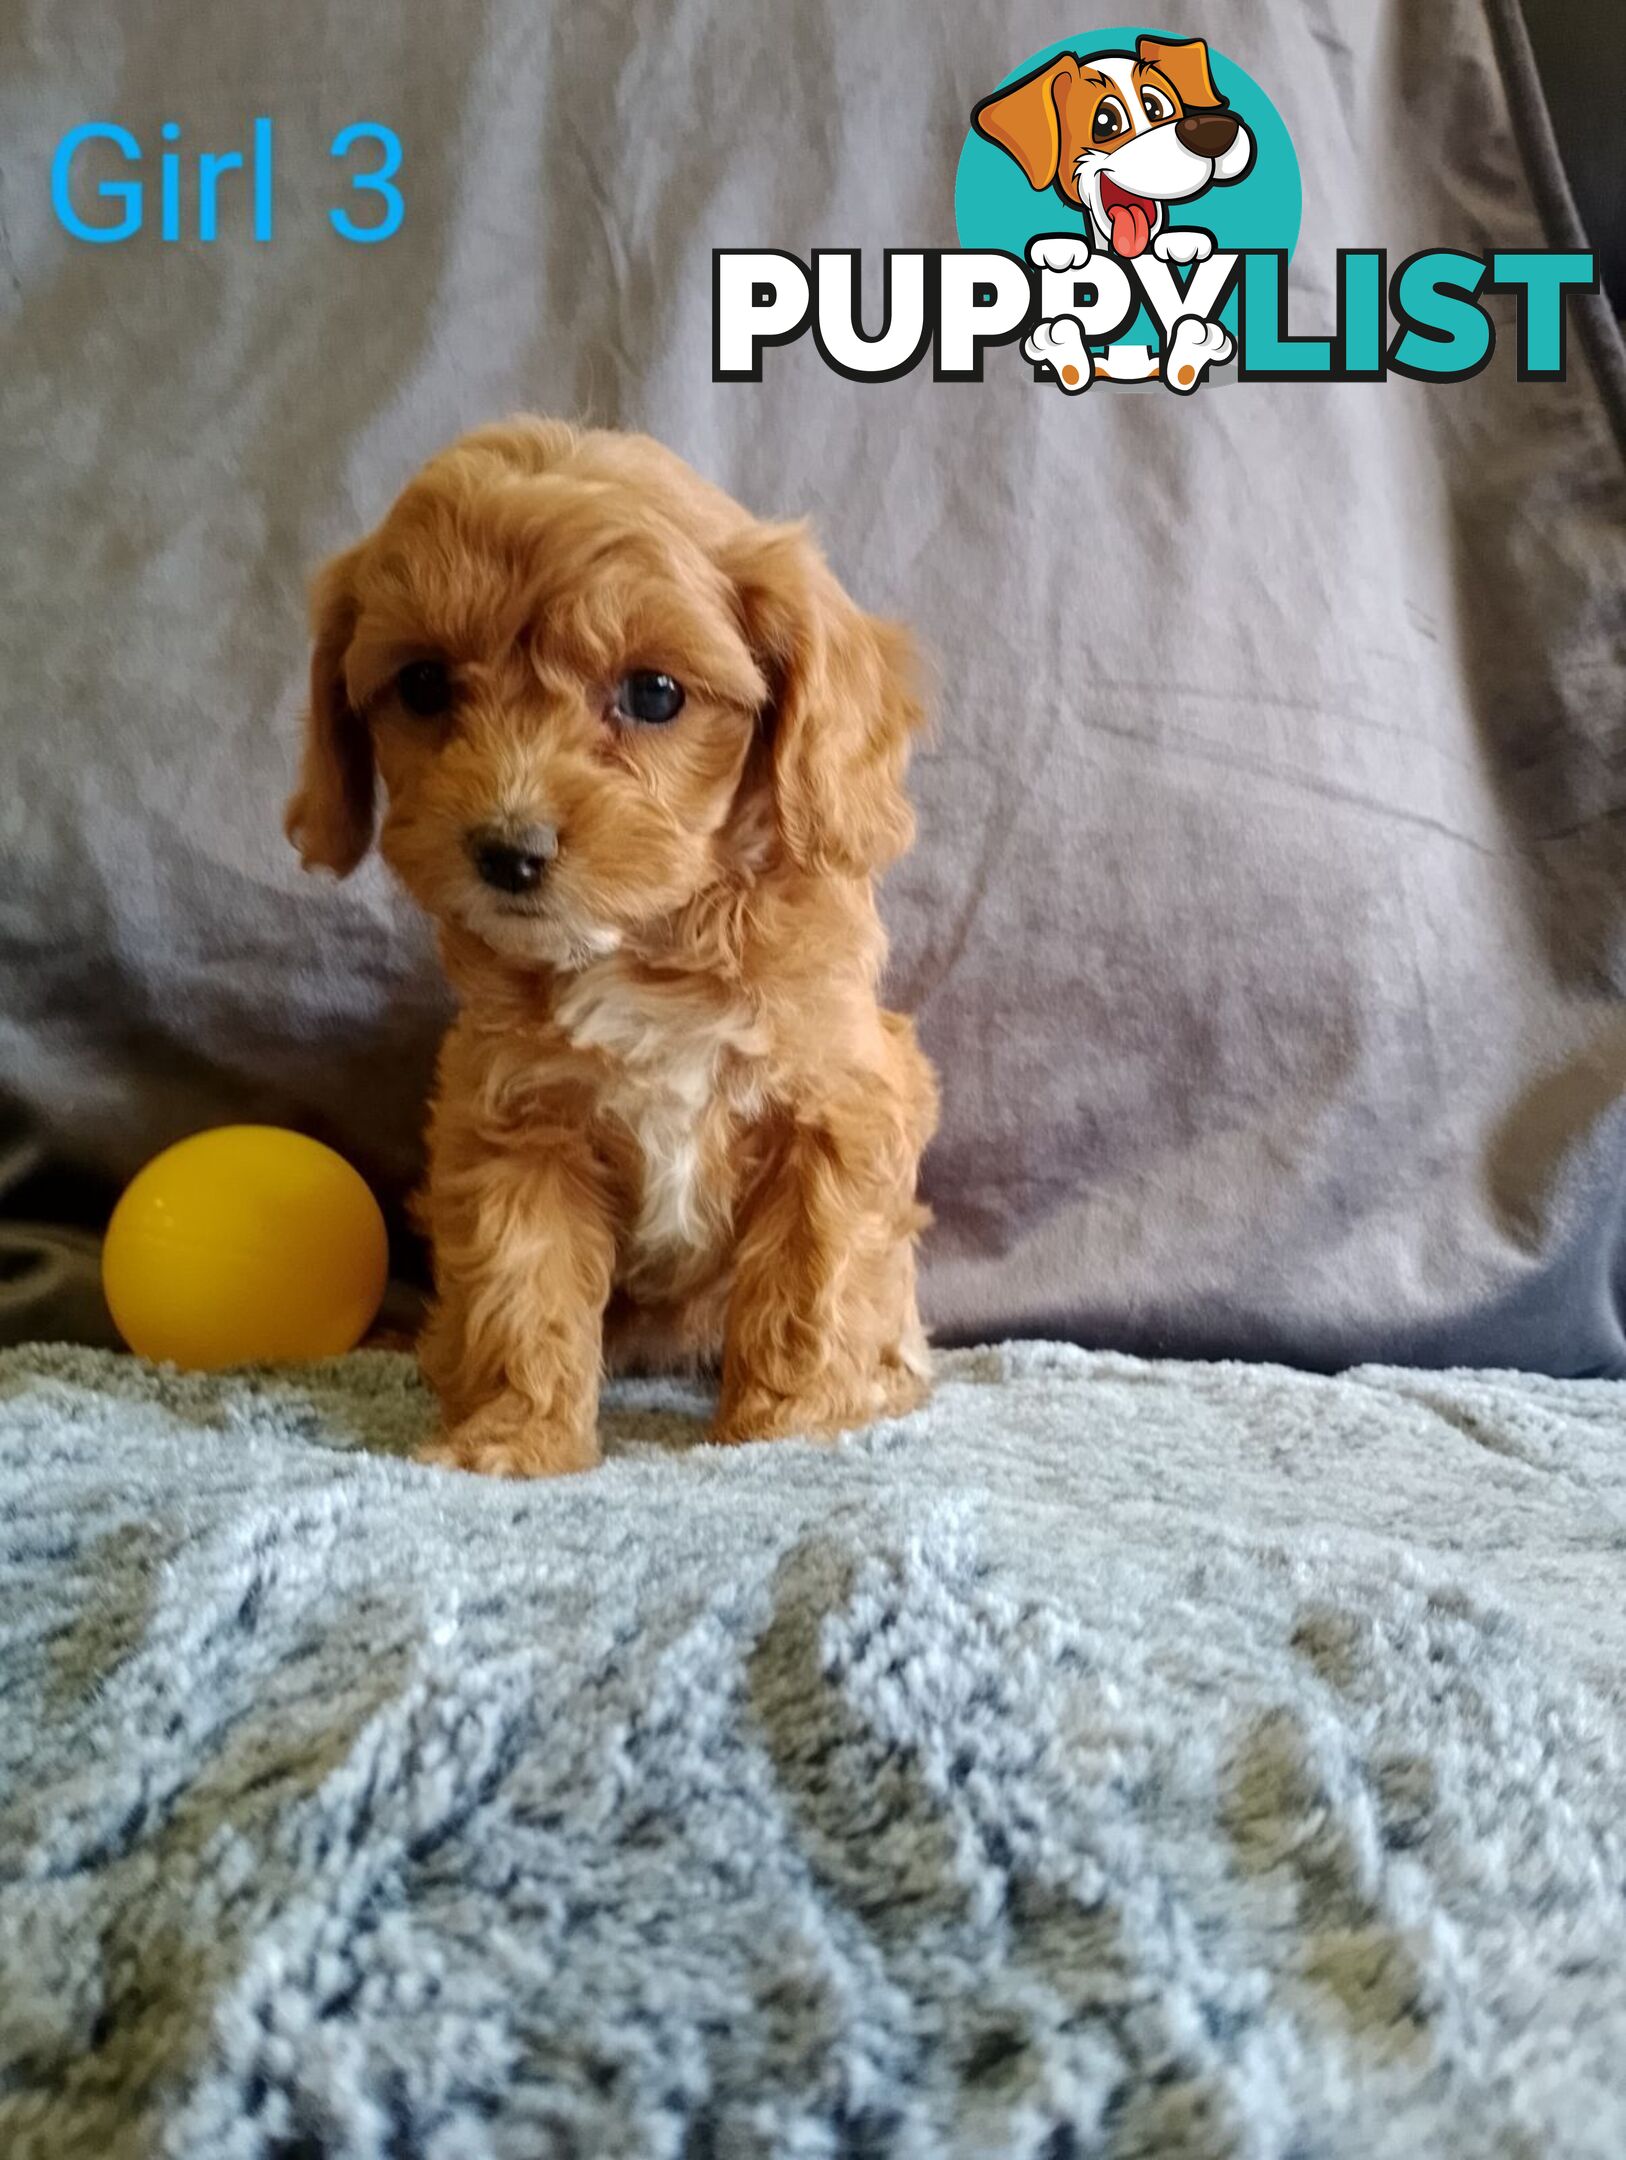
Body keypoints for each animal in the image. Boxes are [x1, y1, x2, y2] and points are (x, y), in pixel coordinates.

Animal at [285, 414, 932, 1477]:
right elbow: (522, 1286)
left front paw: (794, 1425)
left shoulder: (838, 1103)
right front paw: (512, 1440)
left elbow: (814, 1277)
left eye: (655, 693)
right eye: (422, 684)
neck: (649, 945)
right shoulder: (515, 1124)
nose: (508, 850)